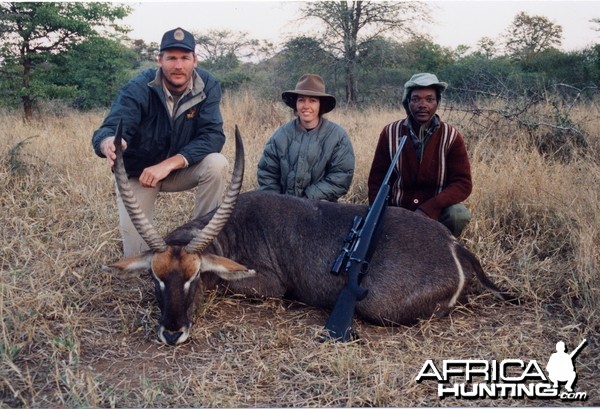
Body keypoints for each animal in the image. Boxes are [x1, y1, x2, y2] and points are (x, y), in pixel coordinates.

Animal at [105, 124, 512, 344]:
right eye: (156, 277)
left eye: (194, 278)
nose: (172, 333)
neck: (234, 229)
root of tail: (456, 247)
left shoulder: (270, 285)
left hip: (379, 306)